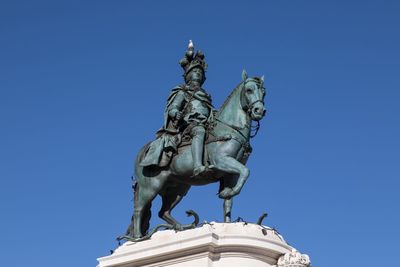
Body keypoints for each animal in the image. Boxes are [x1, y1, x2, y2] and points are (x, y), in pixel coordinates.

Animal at [125, 70, 268, 240]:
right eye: (249, 90)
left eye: (264, 92)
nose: (259, 111)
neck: (229, 129)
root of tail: (142, 152)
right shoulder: (222, 161)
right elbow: (246, 172)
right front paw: (228, 192)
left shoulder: (230, 174)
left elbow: (229, 200)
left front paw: (227, 214)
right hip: (150, 187)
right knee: (139, 210)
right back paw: (138, 238)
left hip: (178, 188)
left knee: (163, 212)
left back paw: (181, 227)